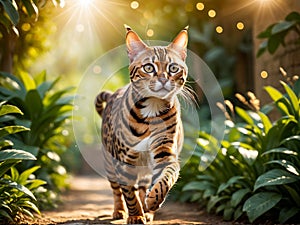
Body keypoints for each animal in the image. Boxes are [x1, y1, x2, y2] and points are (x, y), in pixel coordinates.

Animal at [94, 25, 188, 224]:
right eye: (149, 67)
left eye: (173, 68)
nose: (163, 79)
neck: (152, 107)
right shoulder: (124, 160)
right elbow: (129, 192)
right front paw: (135, 214)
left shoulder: (165, 153)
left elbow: (166, 178)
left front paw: (152, 202)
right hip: (109, 161)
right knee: (116, 189)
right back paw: (119, 210)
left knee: (144, 185)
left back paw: (148, 210)